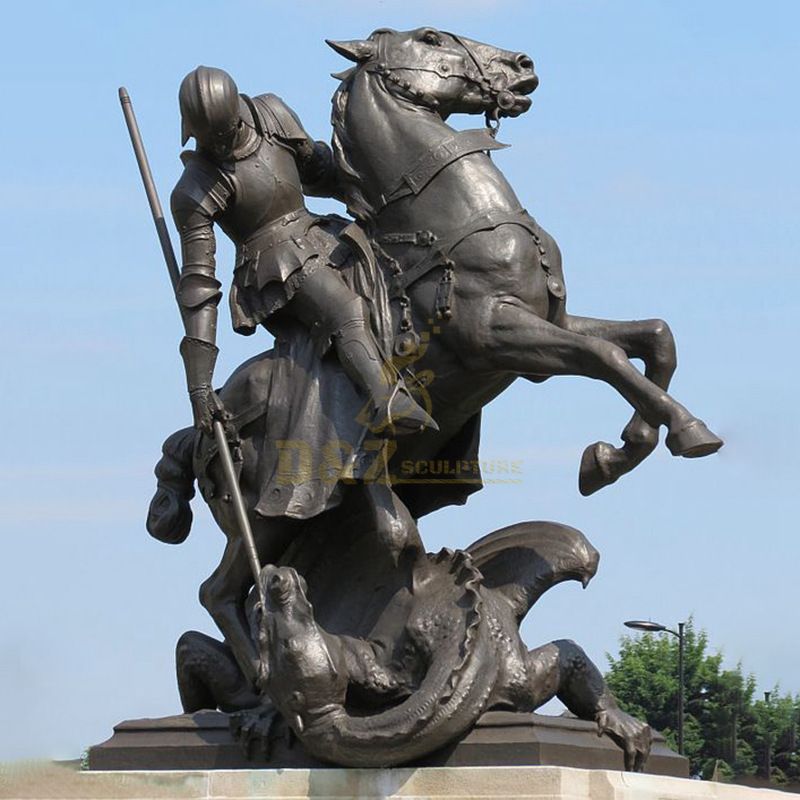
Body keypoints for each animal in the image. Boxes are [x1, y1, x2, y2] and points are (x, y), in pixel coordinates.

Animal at [328, 26, 720, 494]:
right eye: (430, 37)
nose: (523, 63)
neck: (453, 222)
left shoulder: (551, 318)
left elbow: (656, 336)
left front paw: (613, 455)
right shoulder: (492, 333)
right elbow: (605, 354)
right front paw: (686, 429)